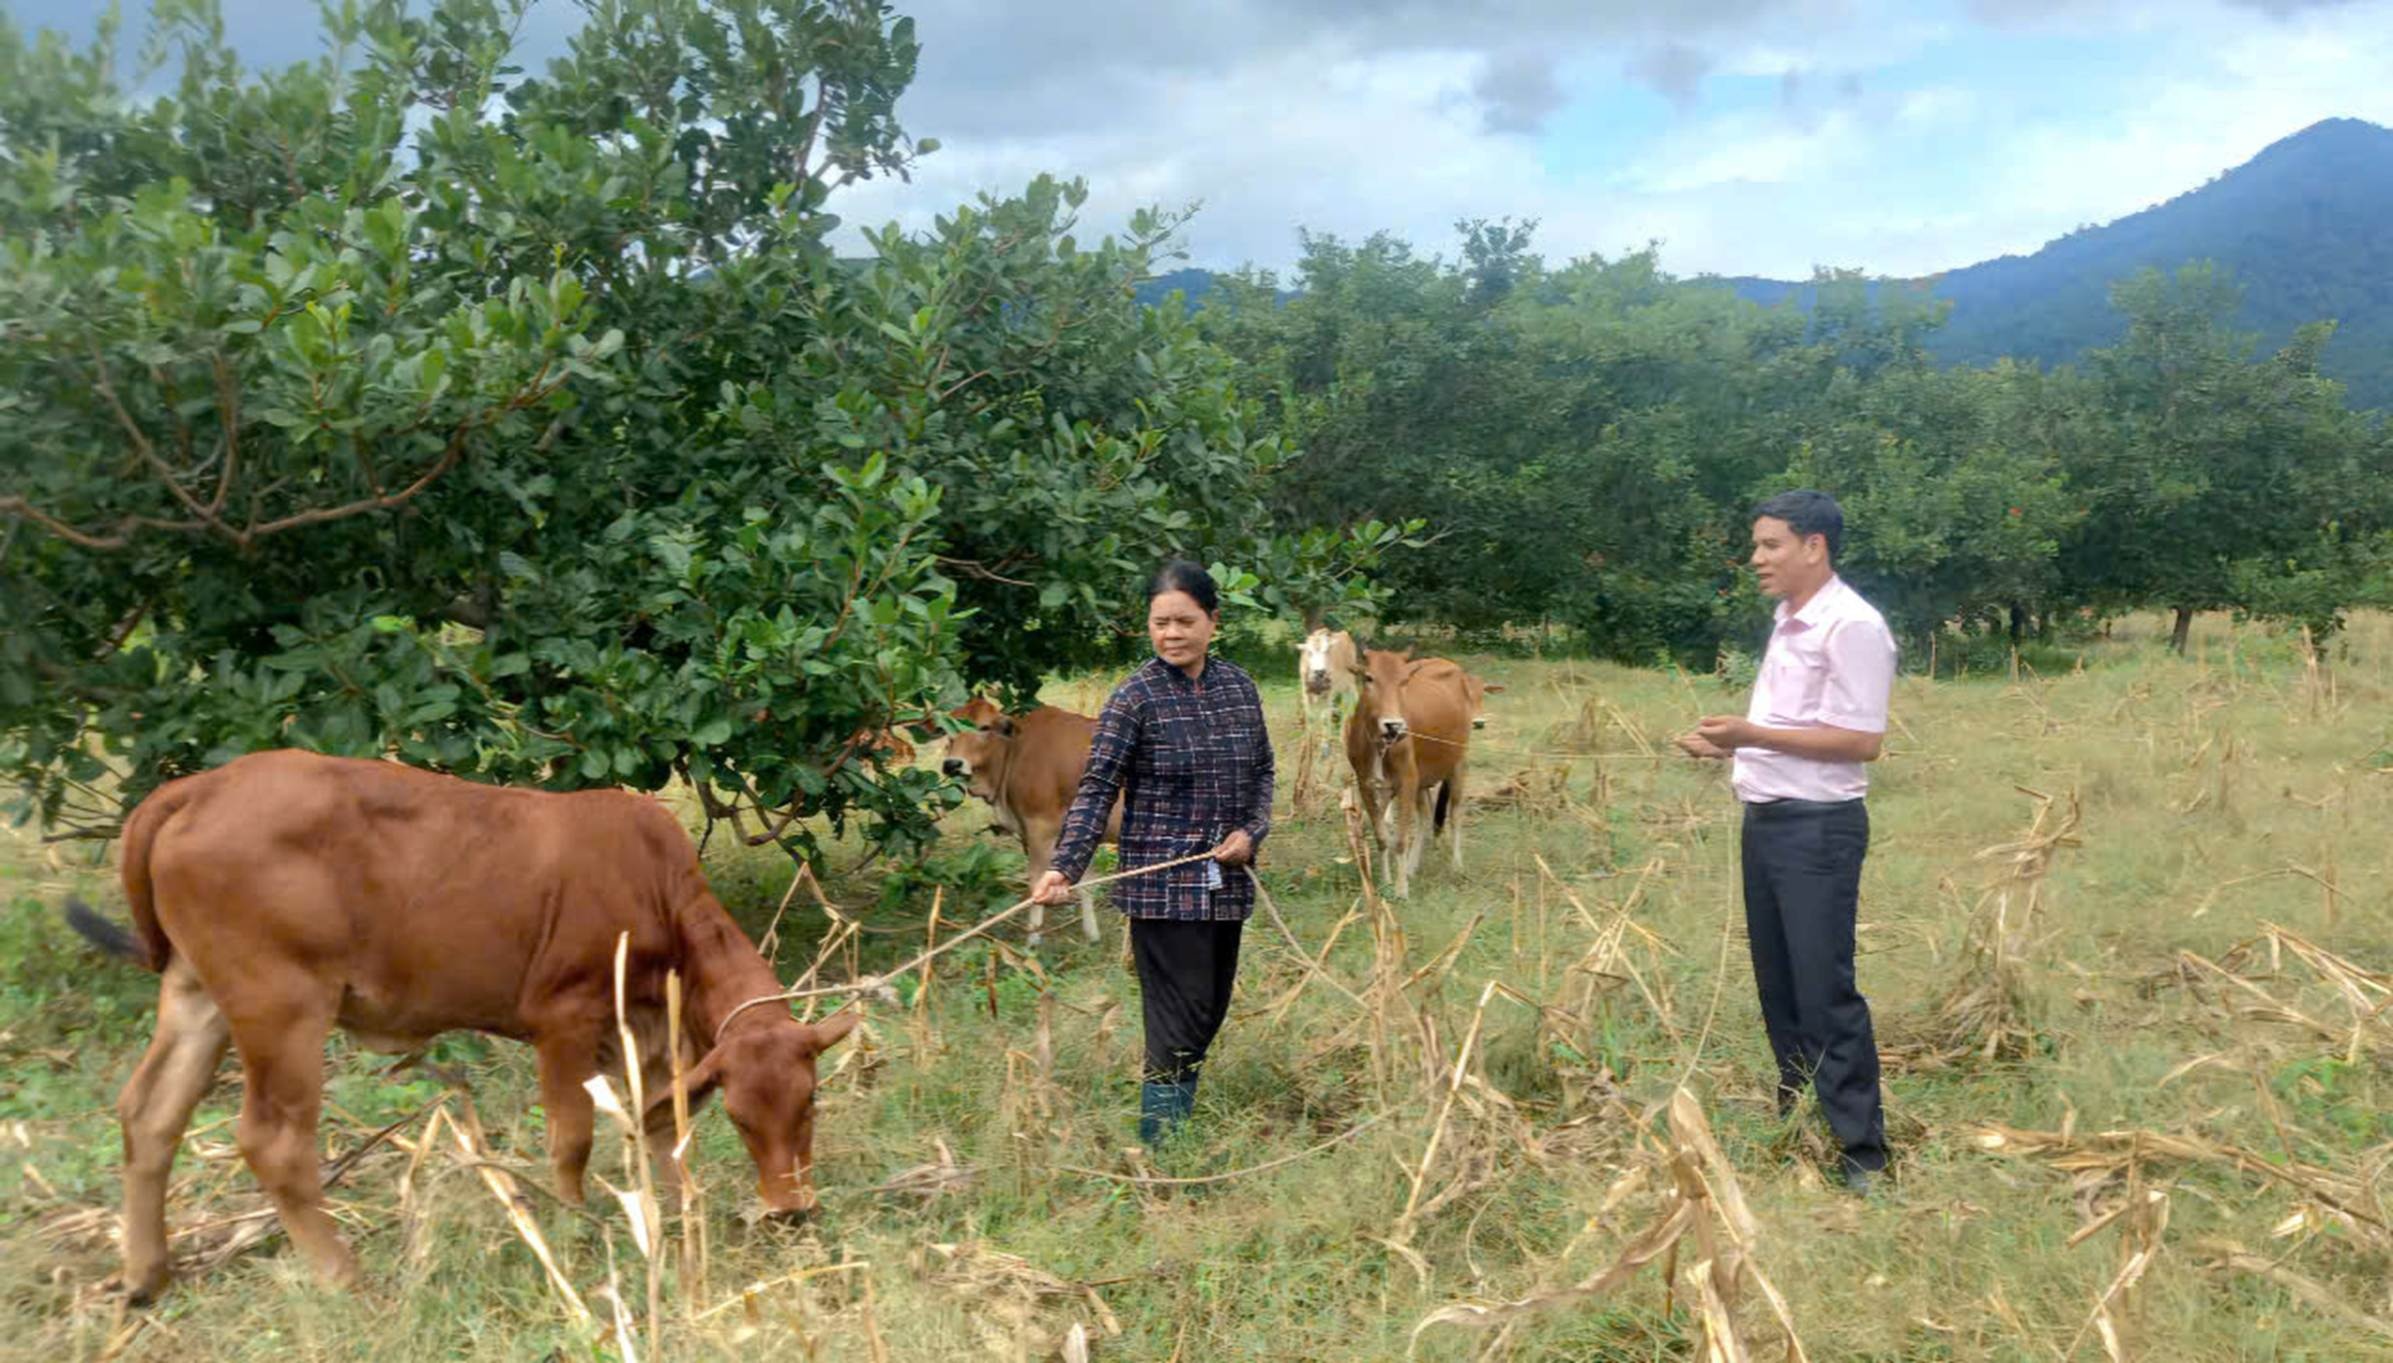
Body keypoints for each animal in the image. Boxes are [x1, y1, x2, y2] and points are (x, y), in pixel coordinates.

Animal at [63, 746, 861, 1300]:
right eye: (740, 1116)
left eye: (812, 1100)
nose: (791, 1211)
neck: (657, 893)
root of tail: (201, 786)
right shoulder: (563, 1018)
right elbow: (572, 1138)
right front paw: (573, 1229)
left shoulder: (652, 1037)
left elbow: (661, 1127)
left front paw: (678, 1213)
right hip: (281, 1005)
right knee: (272, 1140)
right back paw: (346, 1278)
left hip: (196, 992)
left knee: (150, 1112)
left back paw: (147, 1275)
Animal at [933, 693, 1119, 937]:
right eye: (947, 729)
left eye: (984, 727)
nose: (952, 764)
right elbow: (1084, 881)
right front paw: (1092, 935)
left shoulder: (1039, 825)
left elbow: (1037, 881)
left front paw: (1033, 936)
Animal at [1349, 650, 1493, 894]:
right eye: (1368, 677)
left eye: (1404, 681)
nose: (1394, 725)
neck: (1379, 745)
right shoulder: (1366, 784)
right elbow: (1382, 836)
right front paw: (1387, 882)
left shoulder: (1407, 780)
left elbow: (1400, 840)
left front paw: (1401, 890)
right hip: (1422, 780)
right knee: (1425, 817)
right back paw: (1411, 868)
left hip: (1458, 764)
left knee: (1455, 813)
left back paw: (1456, 866)